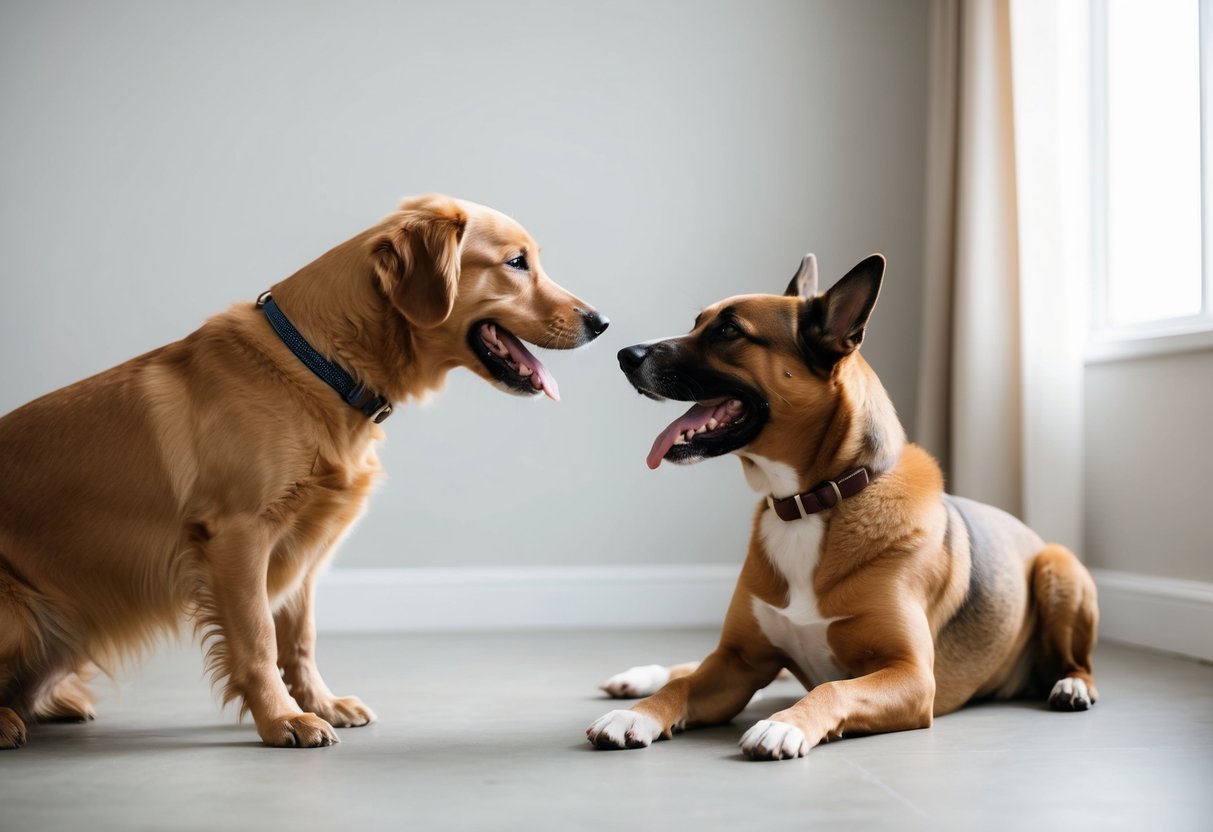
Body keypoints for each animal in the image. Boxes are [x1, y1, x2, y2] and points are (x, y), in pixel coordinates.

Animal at [0, 194, 606, 751]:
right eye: (516, 262)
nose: (601, 322)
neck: (322, 367)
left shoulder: (302, 542)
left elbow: (299, 638)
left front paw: (321, 703)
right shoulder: (239, 535)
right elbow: (259, 639)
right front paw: (283, 719)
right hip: (19, 613)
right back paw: (8, 722)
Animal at [587, 252, 1101, 761]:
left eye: (729, 331)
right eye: (697, 323)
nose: (624, 355)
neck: (809, 502)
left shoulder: (911, 676)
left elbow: (832, 689)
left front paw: (784, 725)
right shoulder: (738, 663)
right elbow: (685, 686)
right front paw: (637, 714)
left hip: (1059, 569)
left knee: (1080, 662)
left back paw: (1071, 686)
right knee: (691, 667)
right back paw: (640, 677)